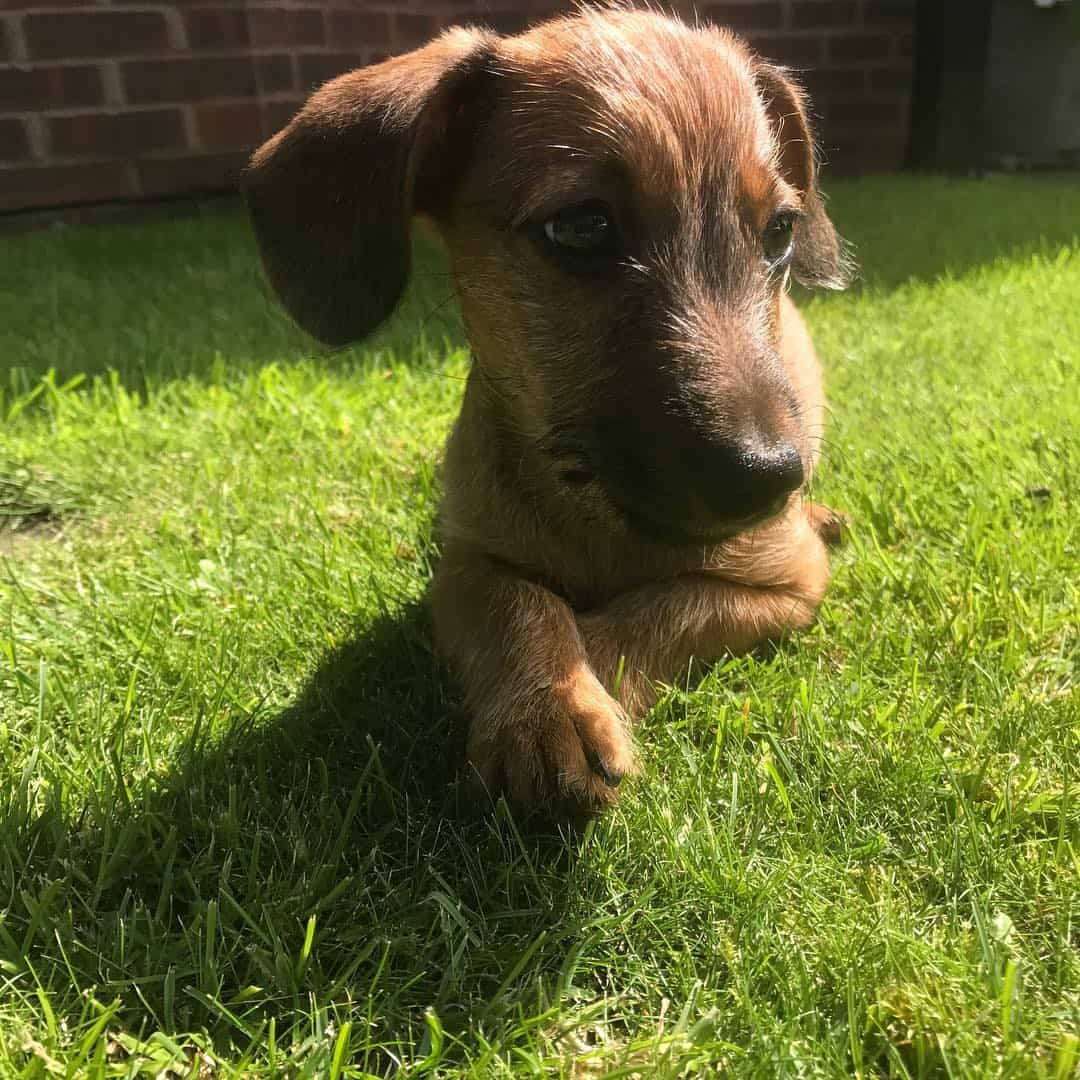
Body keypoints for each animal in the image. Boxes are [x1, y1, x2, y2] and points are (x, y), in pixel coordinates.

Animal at [243, 6, 851, 816]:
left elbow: (657, 610)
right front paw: (547, 705)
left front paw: (571, 699)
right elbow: (518, 602)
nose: (771, 477)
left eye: (780, 231)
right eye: (583, 226)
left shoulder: (786, 582)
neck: (596, 518)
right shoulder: (467, 560)